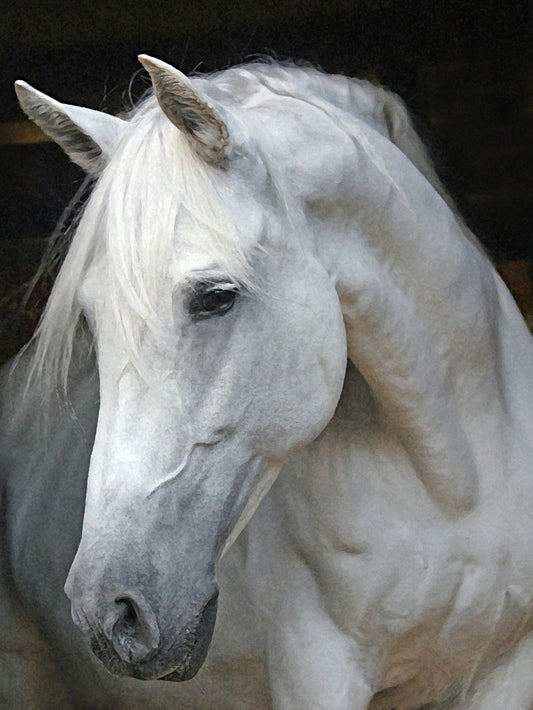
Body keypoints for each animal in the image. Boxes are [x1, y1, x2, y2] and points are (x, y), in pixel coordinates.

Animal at [1, 55, 532, 710]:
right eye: (91, 320)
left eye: (216, 297)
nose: (110, 613)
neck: (454, 490)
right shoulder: (319, 673)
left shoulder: (507, 668)